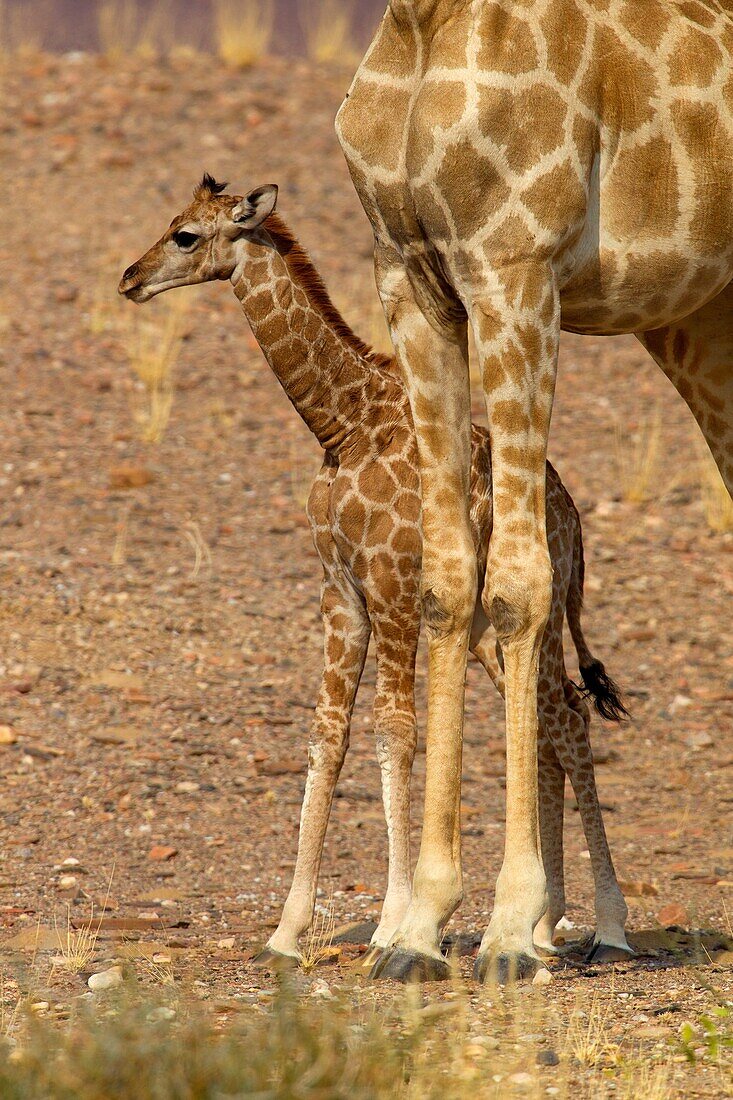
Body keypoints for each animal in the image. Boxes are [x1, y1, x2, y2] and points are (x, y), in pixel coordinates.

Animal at [118, 178, 629, 981]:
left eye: (186, 237)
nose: (131, 279)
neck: (342, 422)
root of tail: (571, 513)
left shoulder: (391, 585)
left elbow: (395, 732)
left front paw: (395, 928)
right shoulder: (340, 592)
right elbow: (327, 738)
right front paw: (286, 933)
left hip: (535, 617)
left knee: (570, 722)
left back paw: (605, 929)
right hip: (485, 635)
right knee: (550, 724)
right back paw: (542, 930)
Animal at [334, 0, 730, 981]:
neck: (422, 22)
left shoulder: (515, 268)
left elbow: (514, 587)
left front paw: (515, 928)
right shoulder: (412, 280)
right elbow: (448, 584)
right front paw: (415, 931)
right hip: (703, 319)